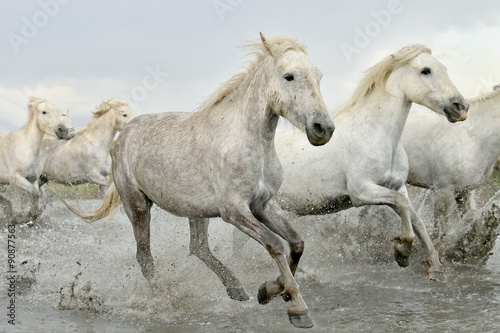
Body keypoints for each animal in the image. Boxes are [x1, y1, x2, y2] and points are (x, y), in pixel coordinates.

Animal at [64, 33, 334, 326]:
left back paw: (235, 288)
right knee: (145, 256)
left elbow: (296, 242)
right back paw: (163, 299)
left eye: (318, 76)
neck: (249, 142)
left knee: (198, 248)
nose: (323, 129)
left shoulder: (263, 205)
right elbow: (275, 244)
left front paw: (268, 291)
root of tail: (123, 134)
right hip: (137, 206)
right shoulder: (234, 210)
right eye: (289, 76)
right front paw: (296, 306)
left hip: (197, 210)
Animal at [276, 44, 466, 282]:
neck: (379, 134)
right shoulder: (361, 191)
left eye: (444, 68)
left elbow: (416, 220)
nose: (460, 106)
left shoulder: (397, 187)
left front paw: (435, 268)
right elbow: (403, 208)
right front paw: (402, 251)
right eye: (426, 70)